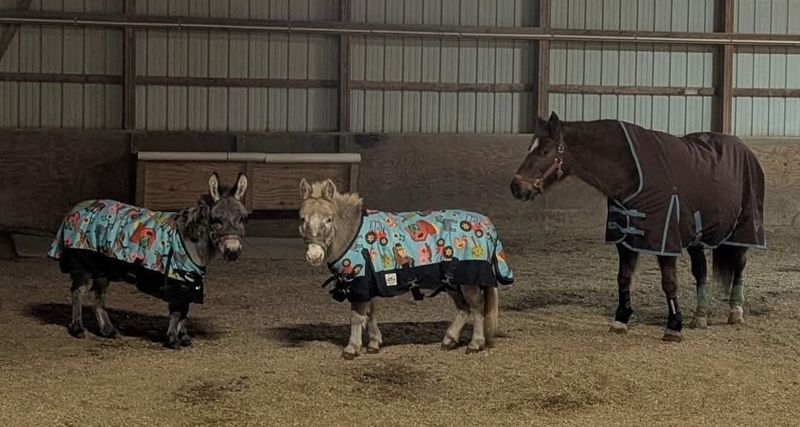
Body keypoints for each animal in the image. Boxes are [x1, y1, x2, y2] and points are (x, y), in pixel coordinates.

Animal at [47, 172, 249, 349]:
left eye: (242, 219)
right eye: (216, 220)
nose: (233, 252)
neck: (189, 240)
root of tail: (76, 208)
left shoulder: (190, 282)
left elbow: (185, 310)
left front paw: (184, 337)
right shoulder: (174, 280)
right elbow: (176, 311)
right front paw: (172, 340)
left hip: (102, 266)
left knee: (98, 296)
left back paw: (108, 330)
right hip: (83, 261)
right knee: (78, 292)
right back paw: (78, 329)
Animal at [297, 178, 514, 359]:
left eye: (329, 219)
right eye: (302, 218)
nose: (314, 255)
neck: (354, 234)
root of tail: (488, 226)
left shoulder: (360, 284)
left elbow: (357, 317)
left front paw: (352, 348)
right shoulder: (370, 283)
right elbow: (370, 314)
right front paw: (373, 344)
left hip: (468, 281)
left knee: (476, 307)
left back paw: (475, 344)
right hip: (453, 282)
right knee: (464, 309)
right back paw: (449, 340)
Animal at [510, 112, 766, 342]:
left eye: (544, 151)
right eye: (530, 148)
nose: (516, 187)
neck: (632, 175)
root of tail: (744, 149)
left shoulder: (665, 240)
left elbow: (669, 283)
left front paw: (674, 327)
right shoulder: (625, 239)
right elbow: (623, 278)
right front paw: (620, 320)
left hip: (743, 230)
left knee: (739, 265)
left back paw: (736, 311)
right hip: (698, 236)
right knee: (701, 271)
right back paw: (701, 316)